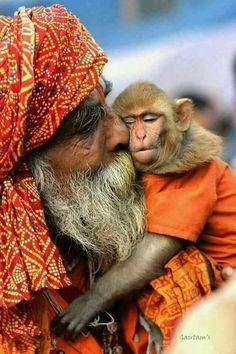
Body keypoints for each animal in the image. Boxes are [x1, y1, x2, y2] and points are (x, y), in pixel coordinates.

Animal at [50, 81, 236, 352]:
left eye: (149, 119)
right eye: (129, 121)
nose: (139, 136)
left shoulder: (191, 179)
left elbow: (154, 249)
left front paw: (93, 299)